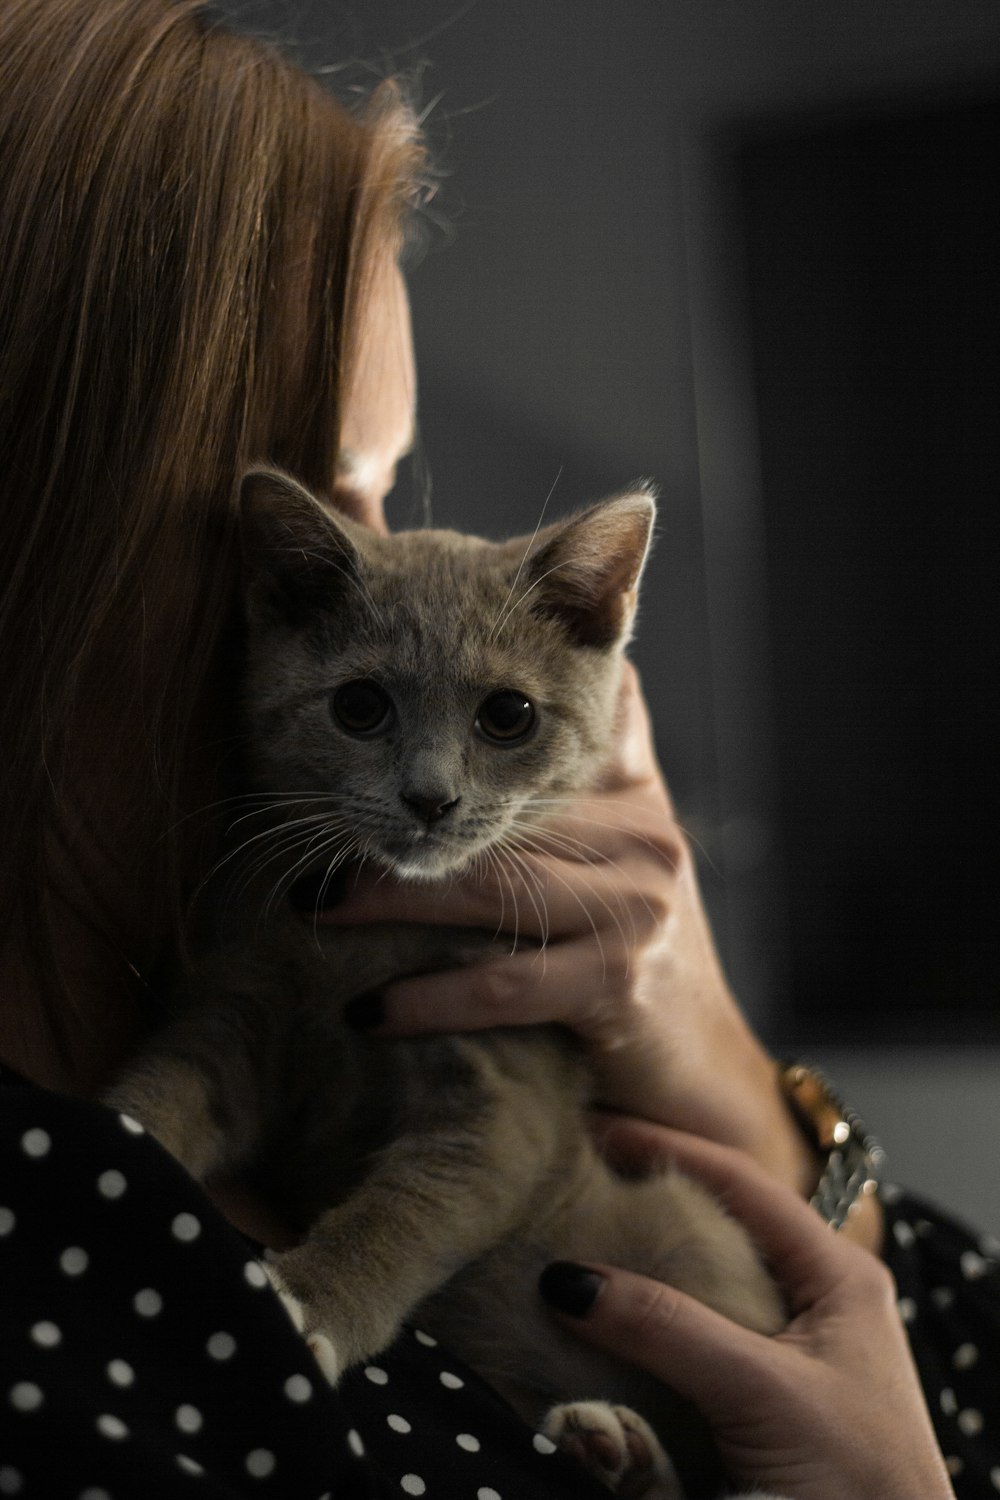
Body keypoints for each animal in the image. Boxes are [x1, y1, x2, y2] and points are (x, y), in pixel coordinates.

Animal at [107, 471, 779, 1500]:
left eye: (508, 716)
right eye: (359, 706)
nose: (430, 798)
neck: (366, 953)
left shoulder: (507, 1098)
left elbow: (409, 1209)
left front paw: (312, 1303)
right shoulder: (240, 1011)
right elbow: (169, 1089)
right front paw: (109, 1129)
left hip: (695, 1236)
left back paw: (626, 1447)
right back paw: (609, 1447)